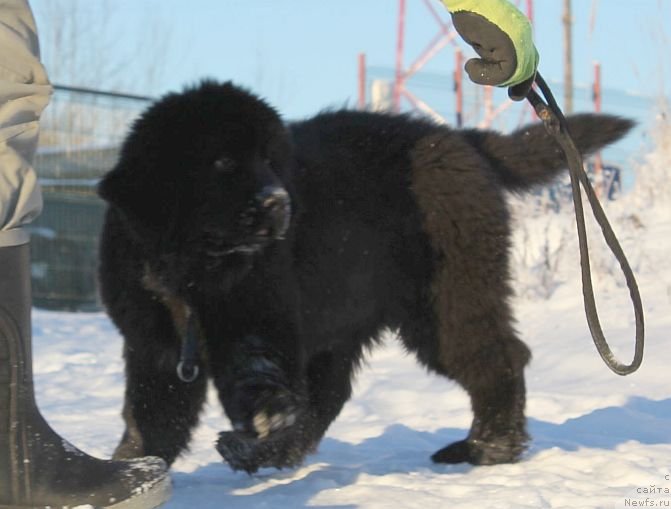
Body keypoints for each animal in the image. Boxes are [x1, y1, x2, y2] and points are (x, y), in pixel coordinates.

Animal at [97, 79, 632, 472]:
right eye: (223, 162)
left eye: (270, 161)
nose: (279, 204)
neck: (194, 268)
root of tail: (461, 139)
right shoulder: (154, 346)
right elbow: (155, 413)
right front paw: (131, 466)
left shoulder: (258, 314)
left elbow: (256, 371)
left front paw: (265, 418)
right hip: (347, 311)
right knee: (330, 393)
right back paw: (271, 454)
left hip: (443, 299)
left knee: (497, 357)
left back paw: (487, 449)